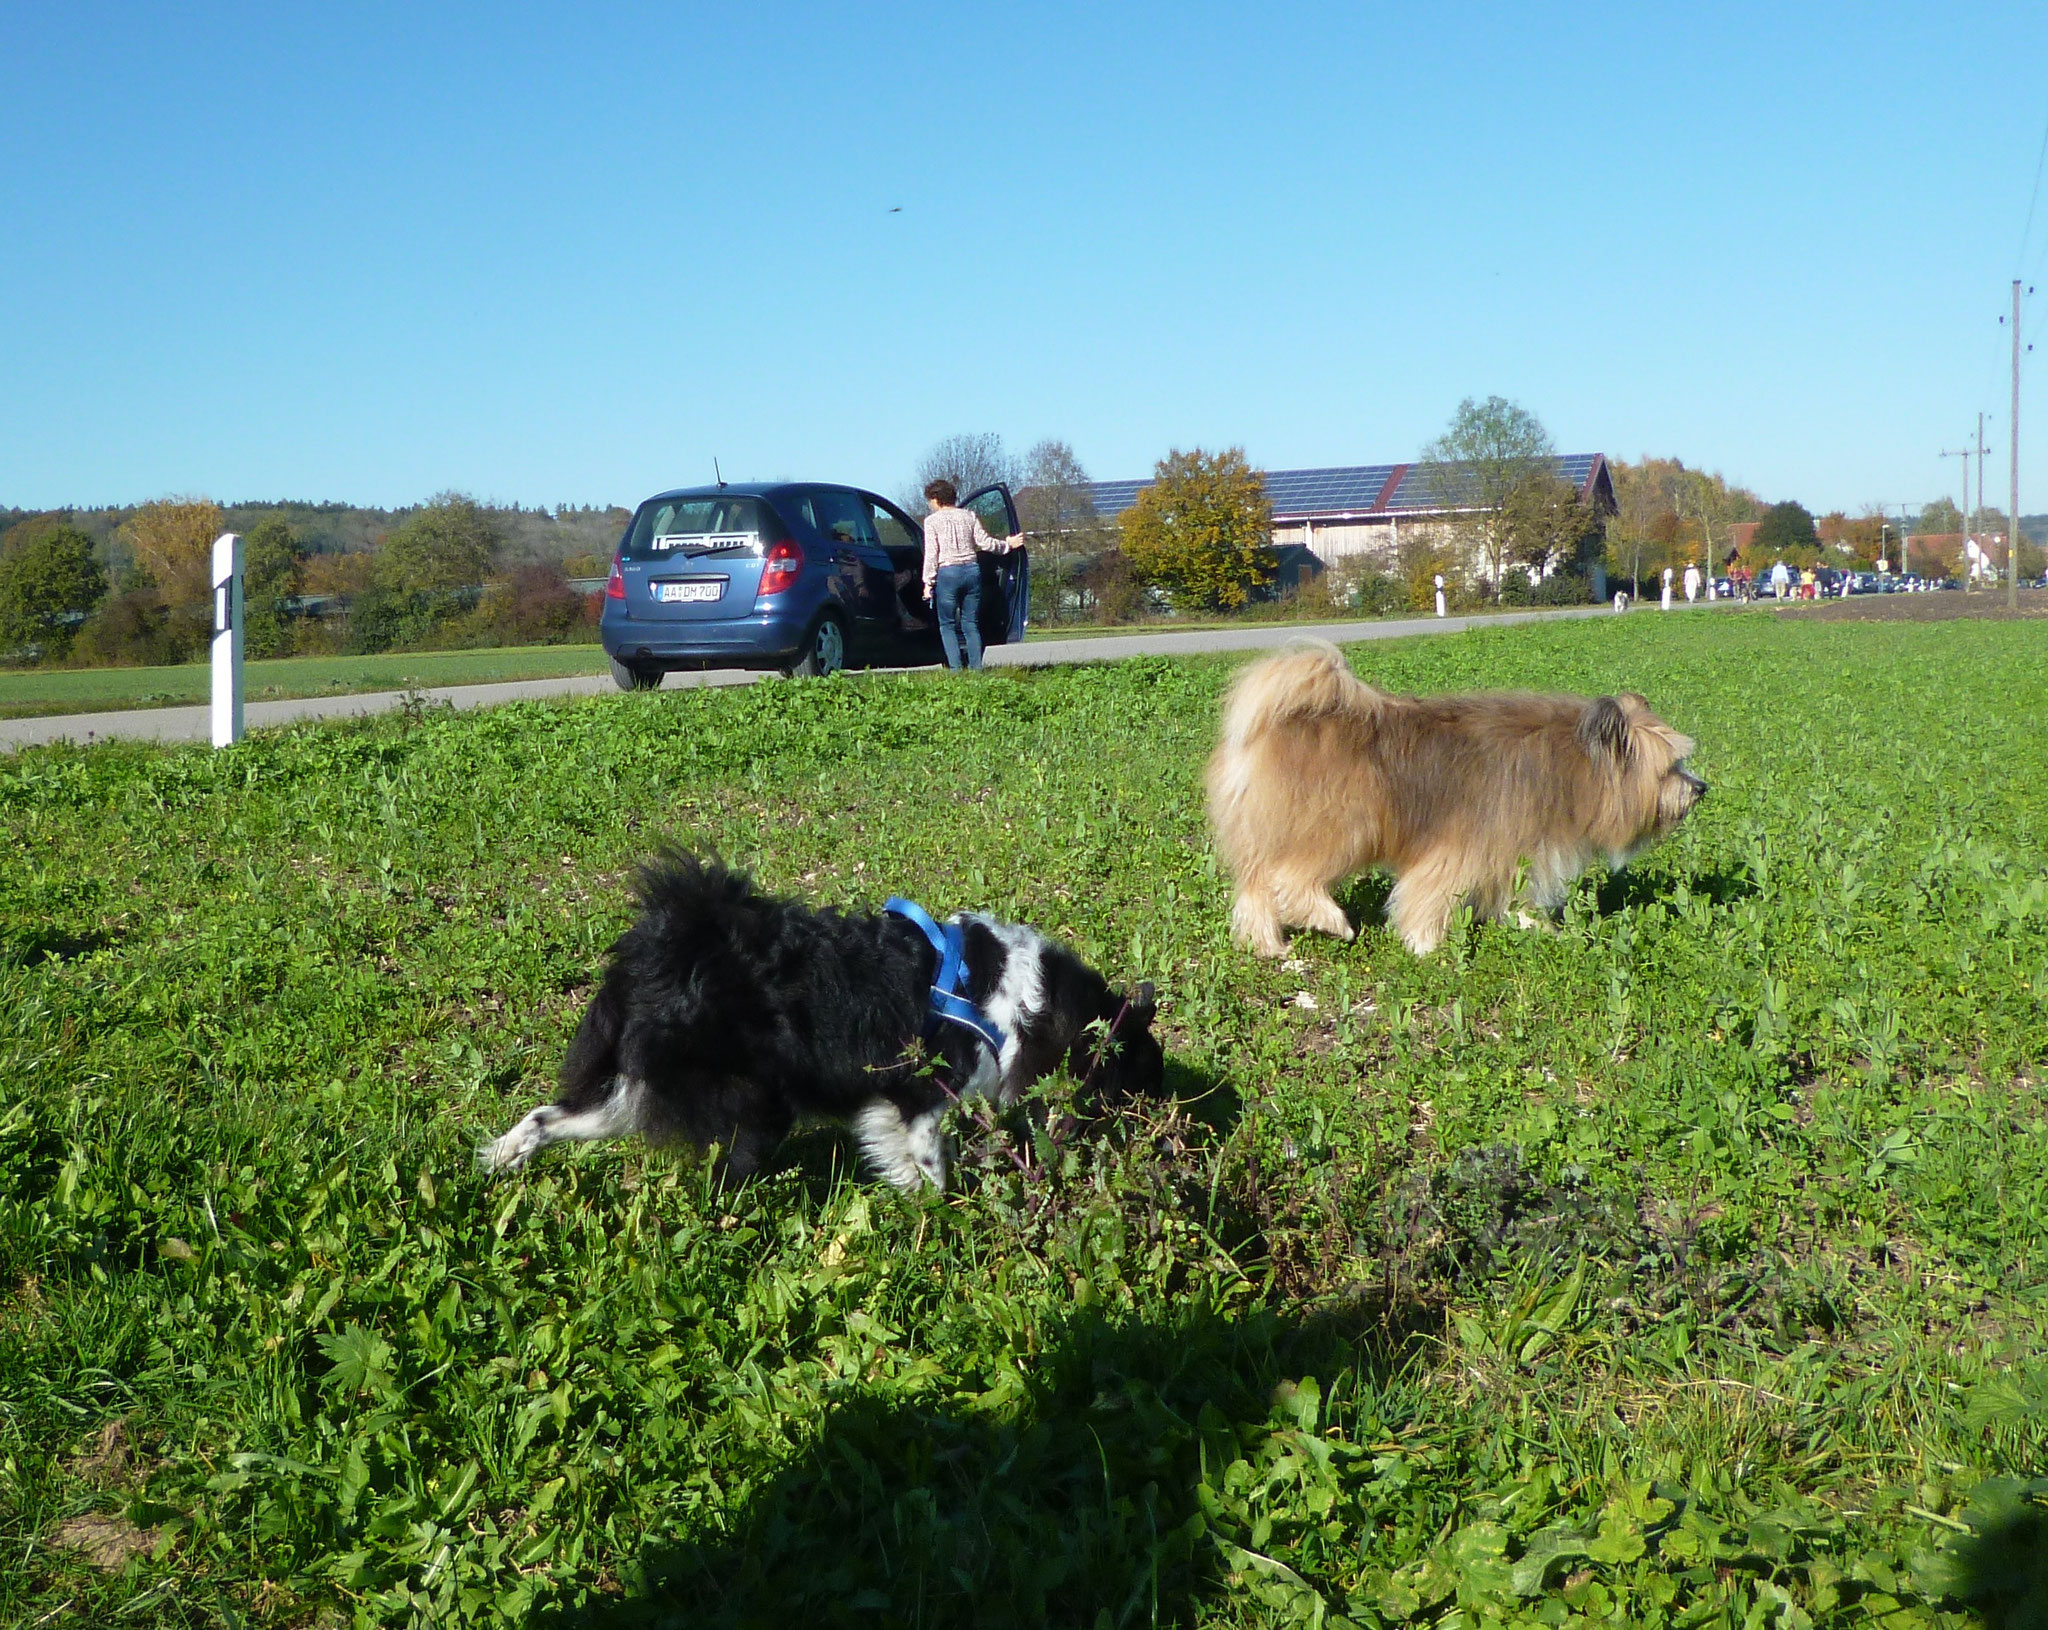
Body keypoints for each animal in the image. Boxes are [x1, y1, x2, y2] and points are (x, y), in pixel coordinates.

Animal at [471, 851, 1163, 1187]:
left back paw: (500, 1160)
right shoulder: (920, 1098)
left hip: (641, 1089)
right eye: (1141, 1076)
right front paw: (942, 1222)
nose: (1153, 1123)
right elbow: (932, 1171)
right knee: (722, 1174)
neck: (1027, 999)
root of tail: (673, 947)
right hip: (752, 1106)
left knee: (546, 1117)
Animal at [1204, 642, 1703, 962]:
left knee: (1255, 889)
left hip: (1265, 835)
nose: (1700, 788)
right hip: (1342, 828)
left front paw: (1540, 930)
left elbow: (1514, 900)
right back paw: (1334, 922)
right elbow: (1426, 899)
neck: (1569, 764)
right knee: (1289, 880)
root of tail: (1273, 726)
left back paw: (1268, 946)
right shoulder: (1460, 851)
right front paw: (1425, 947)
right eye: (1669, 768)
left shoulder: (1513, 851)